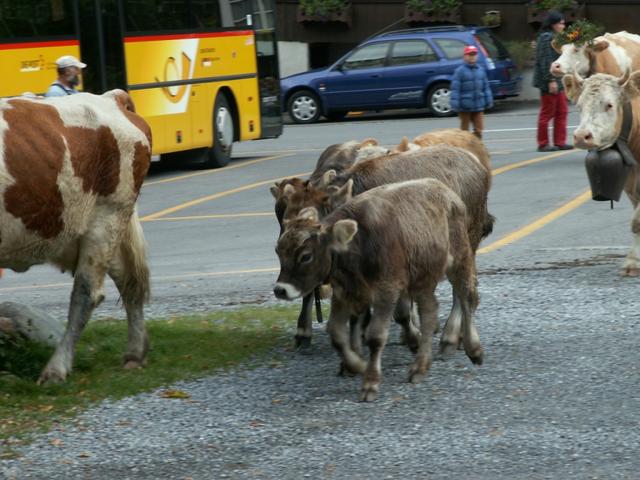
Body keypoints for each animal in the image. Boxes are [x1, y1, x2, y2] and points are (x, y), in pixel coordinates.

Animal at [0, 89, 152, 382]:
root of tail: (112, 98)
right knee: (128, 281)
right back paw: (134, 353)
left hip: (107, 217)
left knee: (86, 293)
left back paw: (56, 369)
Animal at [568, 69, 640, 276]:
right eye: (579, 105)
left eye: (609, 104)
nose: (581, 136)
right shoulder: (631, 185)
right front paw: (634, 261)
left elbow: (636, 221)